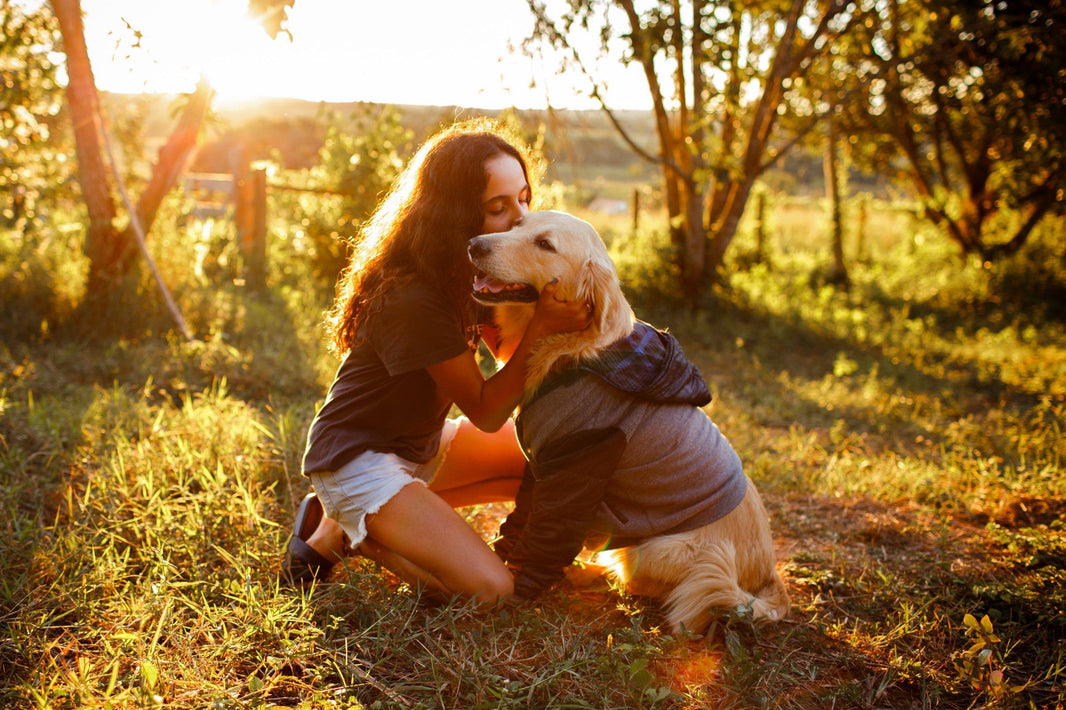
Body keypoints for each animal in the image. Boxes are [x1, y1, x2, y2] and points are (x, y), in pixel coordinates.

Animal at [469, 208, 793, 631]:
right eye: (518, 224)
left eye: (545, 244)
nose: (473, 244)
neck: (574, 352)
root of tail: (768, 578)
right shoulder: (541, 463)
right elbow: (523, 515)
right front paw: (502, 552)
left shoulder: (580, 458)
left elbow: (547, 532)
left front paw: (519, 588)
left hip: (665, 551)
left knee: (644, 583)